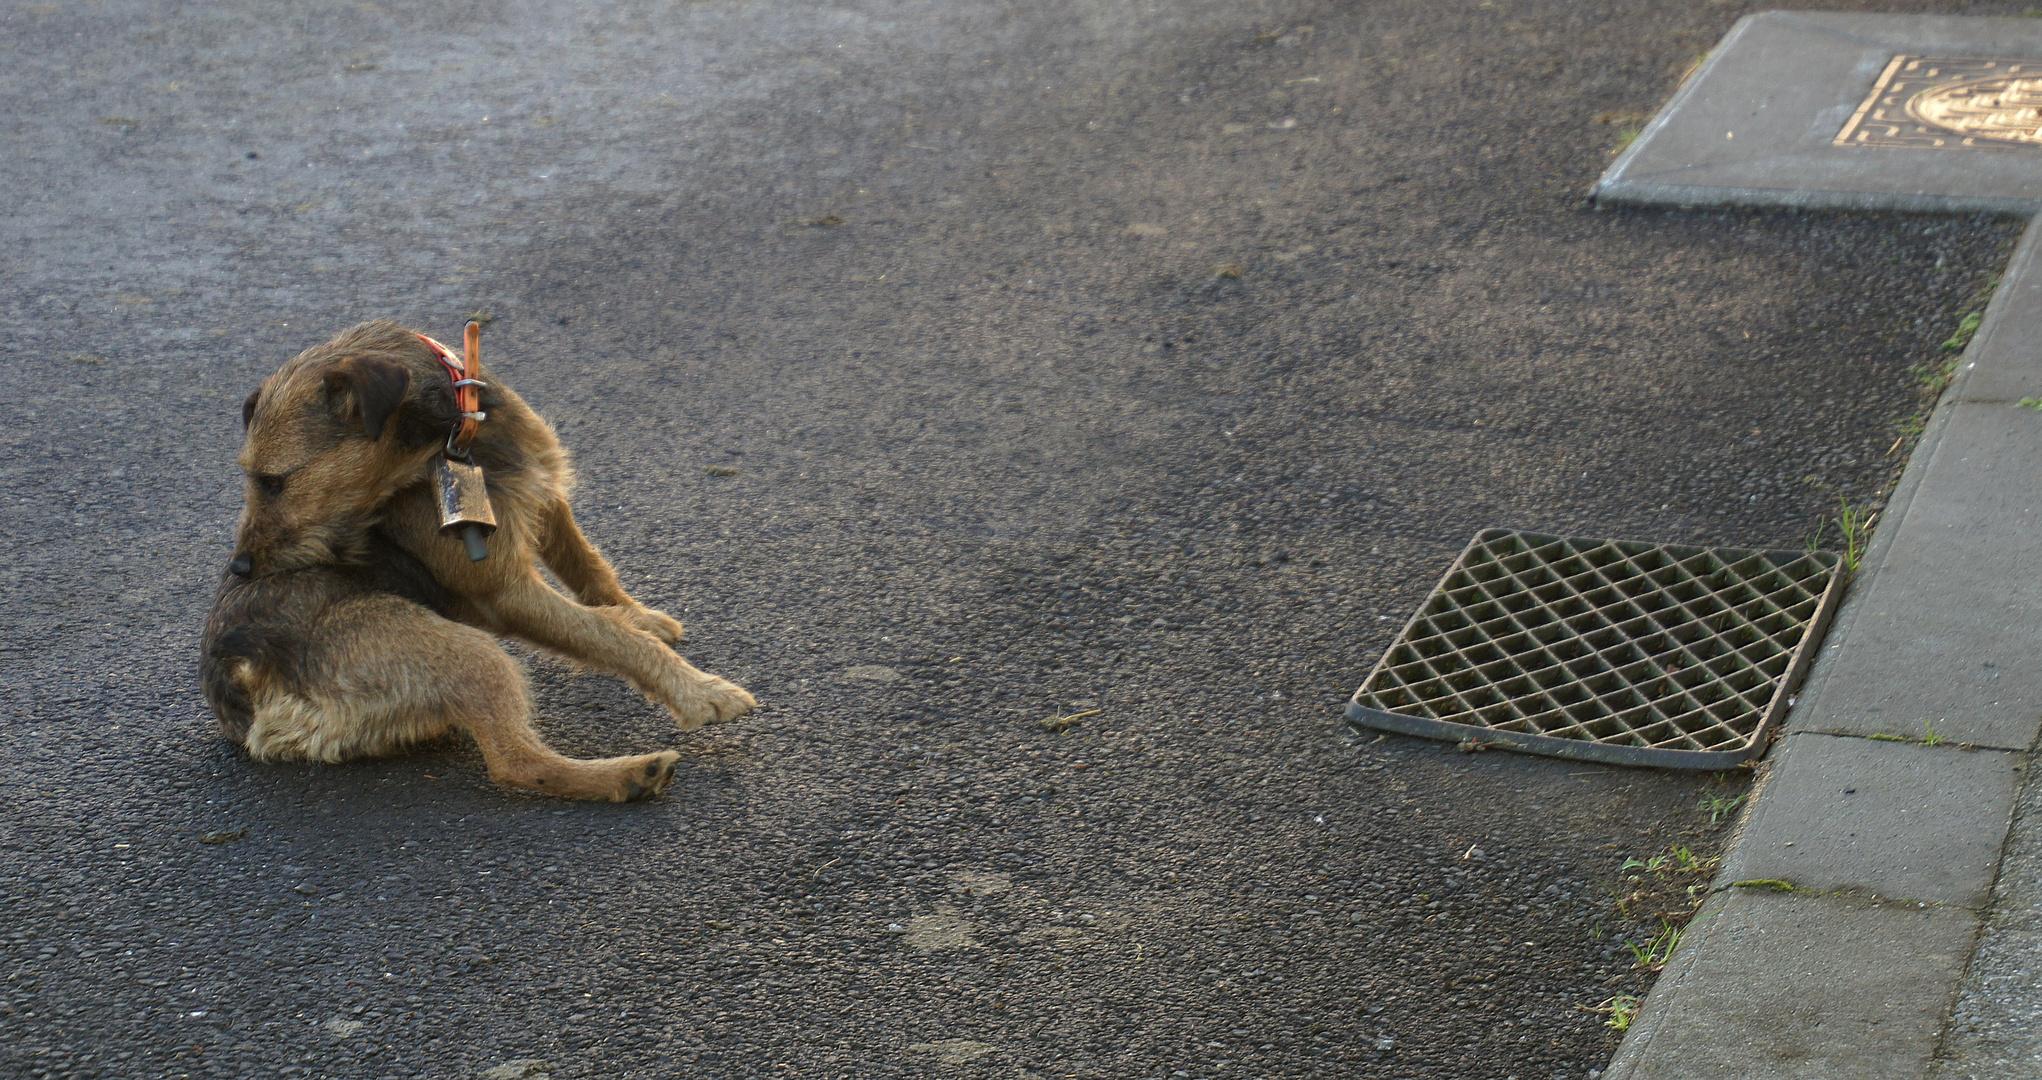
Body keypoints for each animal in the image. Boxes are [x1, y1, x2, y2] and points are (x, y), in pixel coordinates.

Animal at [201, 316, 759, 796]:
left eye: (272, 482)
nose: (240, 568)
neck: (455, 436)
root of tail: (242, 679)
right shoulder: (505, 593)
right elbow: (609, 636)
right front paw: (699, 691)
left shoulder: (545, 496)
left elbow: (590, 569)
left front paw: (637, 614)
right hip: (472, 653)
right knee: (514, 762)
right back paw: (630, 775)